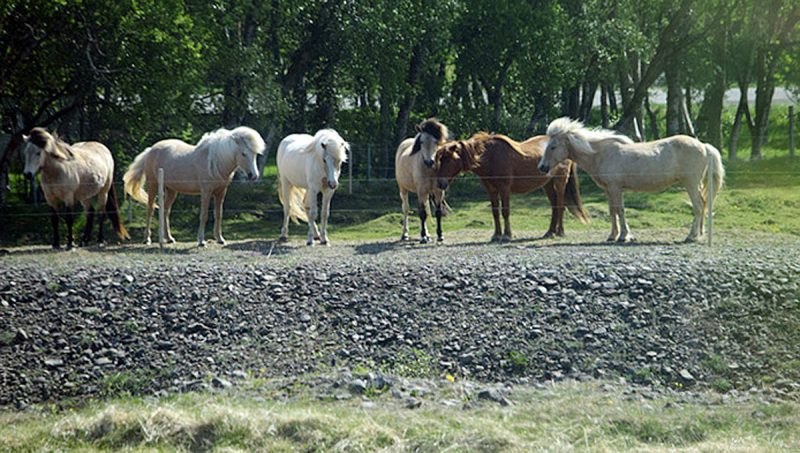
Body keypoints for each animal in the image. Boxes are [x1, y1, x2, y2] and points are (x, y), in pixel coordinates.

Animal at [124, 126, 265, 246]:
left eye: (255, 154)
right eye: (243, 153)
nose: (254, 176)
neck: (215, 161)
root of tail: (150, 150)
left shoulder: (220, 192)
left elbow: (218, 214)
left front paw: (220, 239)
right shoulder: (206, 192)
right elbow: (204, 215)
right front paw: (201, 241)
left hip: (171, 190)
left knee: (166, 212)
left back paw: (169, 238)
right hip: (153, 186)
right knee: (150, 210)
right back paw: (147, 239)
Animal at [435, 133, 588, 242]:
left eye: (448, 159)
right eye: (440, 159)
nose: (440, 184)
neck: (490, 157)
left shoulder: (504, 189)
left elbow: (505, 211)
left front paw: (507, 235)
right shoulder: (491, 190)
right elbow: (495, 212)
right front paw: (496, 235)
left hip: (559, 181)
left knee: (560, 206)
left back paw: (560, 232)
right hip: (547, 184)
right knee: (554, 206)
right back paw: (550, 232)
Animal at [539, 117, 725, 243]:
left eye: (553, 146)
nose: (542, 167)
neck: (600, 154)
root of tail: (703, 146)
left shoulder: (615, 188)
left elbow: (620, 210)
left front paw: (623, 236)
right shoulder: (609, 190)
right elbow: (612, 211)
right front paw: (613, 235)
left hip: (690, 184)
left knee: (698, 206)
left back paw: (691, 236)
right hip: (696, 185)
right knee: (703, 205)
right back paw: (699, 234)